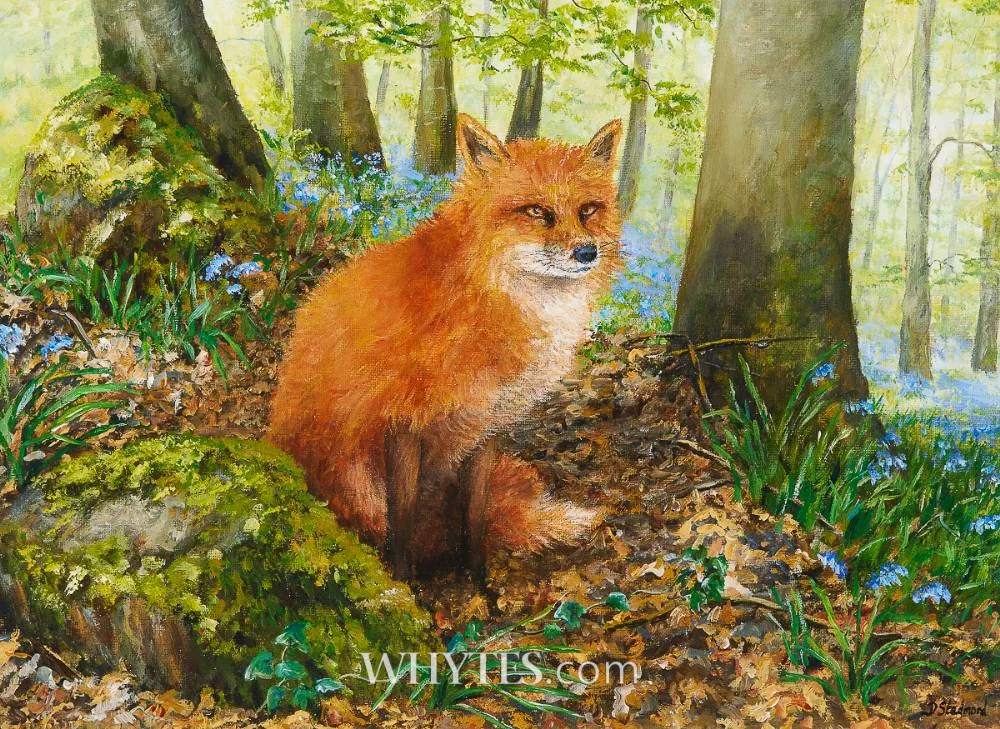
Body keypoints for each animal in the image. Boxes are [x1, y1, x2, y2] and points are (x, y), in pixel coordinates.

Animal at [268, 114, 623, 578]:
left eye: (588, 211)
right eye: (537, 212)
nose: (586, 252)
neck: (484, 298)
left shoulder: (488, 424)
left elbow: (475, 517)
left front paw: (480, 578)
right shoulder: (400, 422)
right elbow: (401, 527)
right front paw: (403, 586)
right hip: (355, 483)